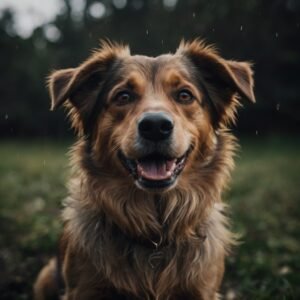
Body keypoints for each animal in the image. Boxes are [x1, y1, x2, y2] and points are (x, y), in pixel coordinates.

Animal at [34, 39, 254, 300]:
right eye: (123, 96)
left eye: (184, 95)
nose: (155, 126)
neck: (154, 237)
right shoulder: (84, 289)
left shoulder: (202, 290)